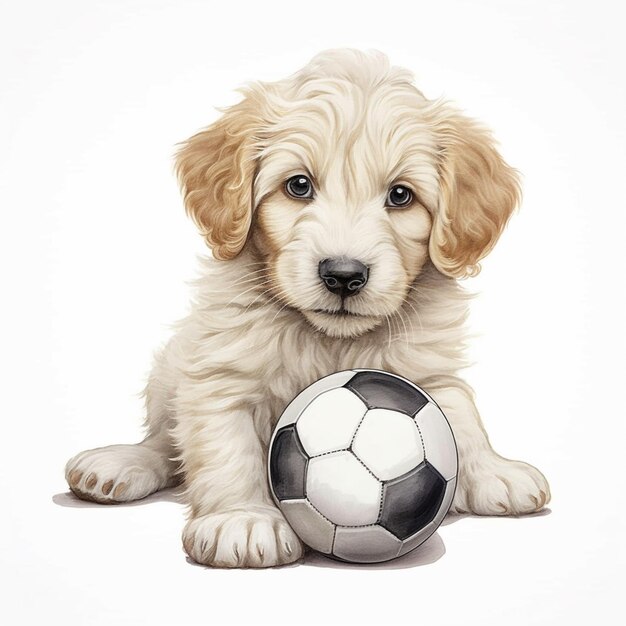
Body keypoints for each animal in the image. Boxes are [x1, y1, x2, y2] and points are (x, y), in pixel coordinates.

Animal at [66, 48, 548, 564]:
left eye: (401, 195)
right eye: (298, 186)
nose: (343, 275)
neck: (328, 340)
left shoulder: (428, 365)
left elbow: (459, 410)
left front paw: (493, 471)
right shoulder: (221, 373)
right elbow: (225, 445)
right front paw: (243, 520)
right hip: (169, 370)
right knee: (163, 441)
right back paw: (118, 463)